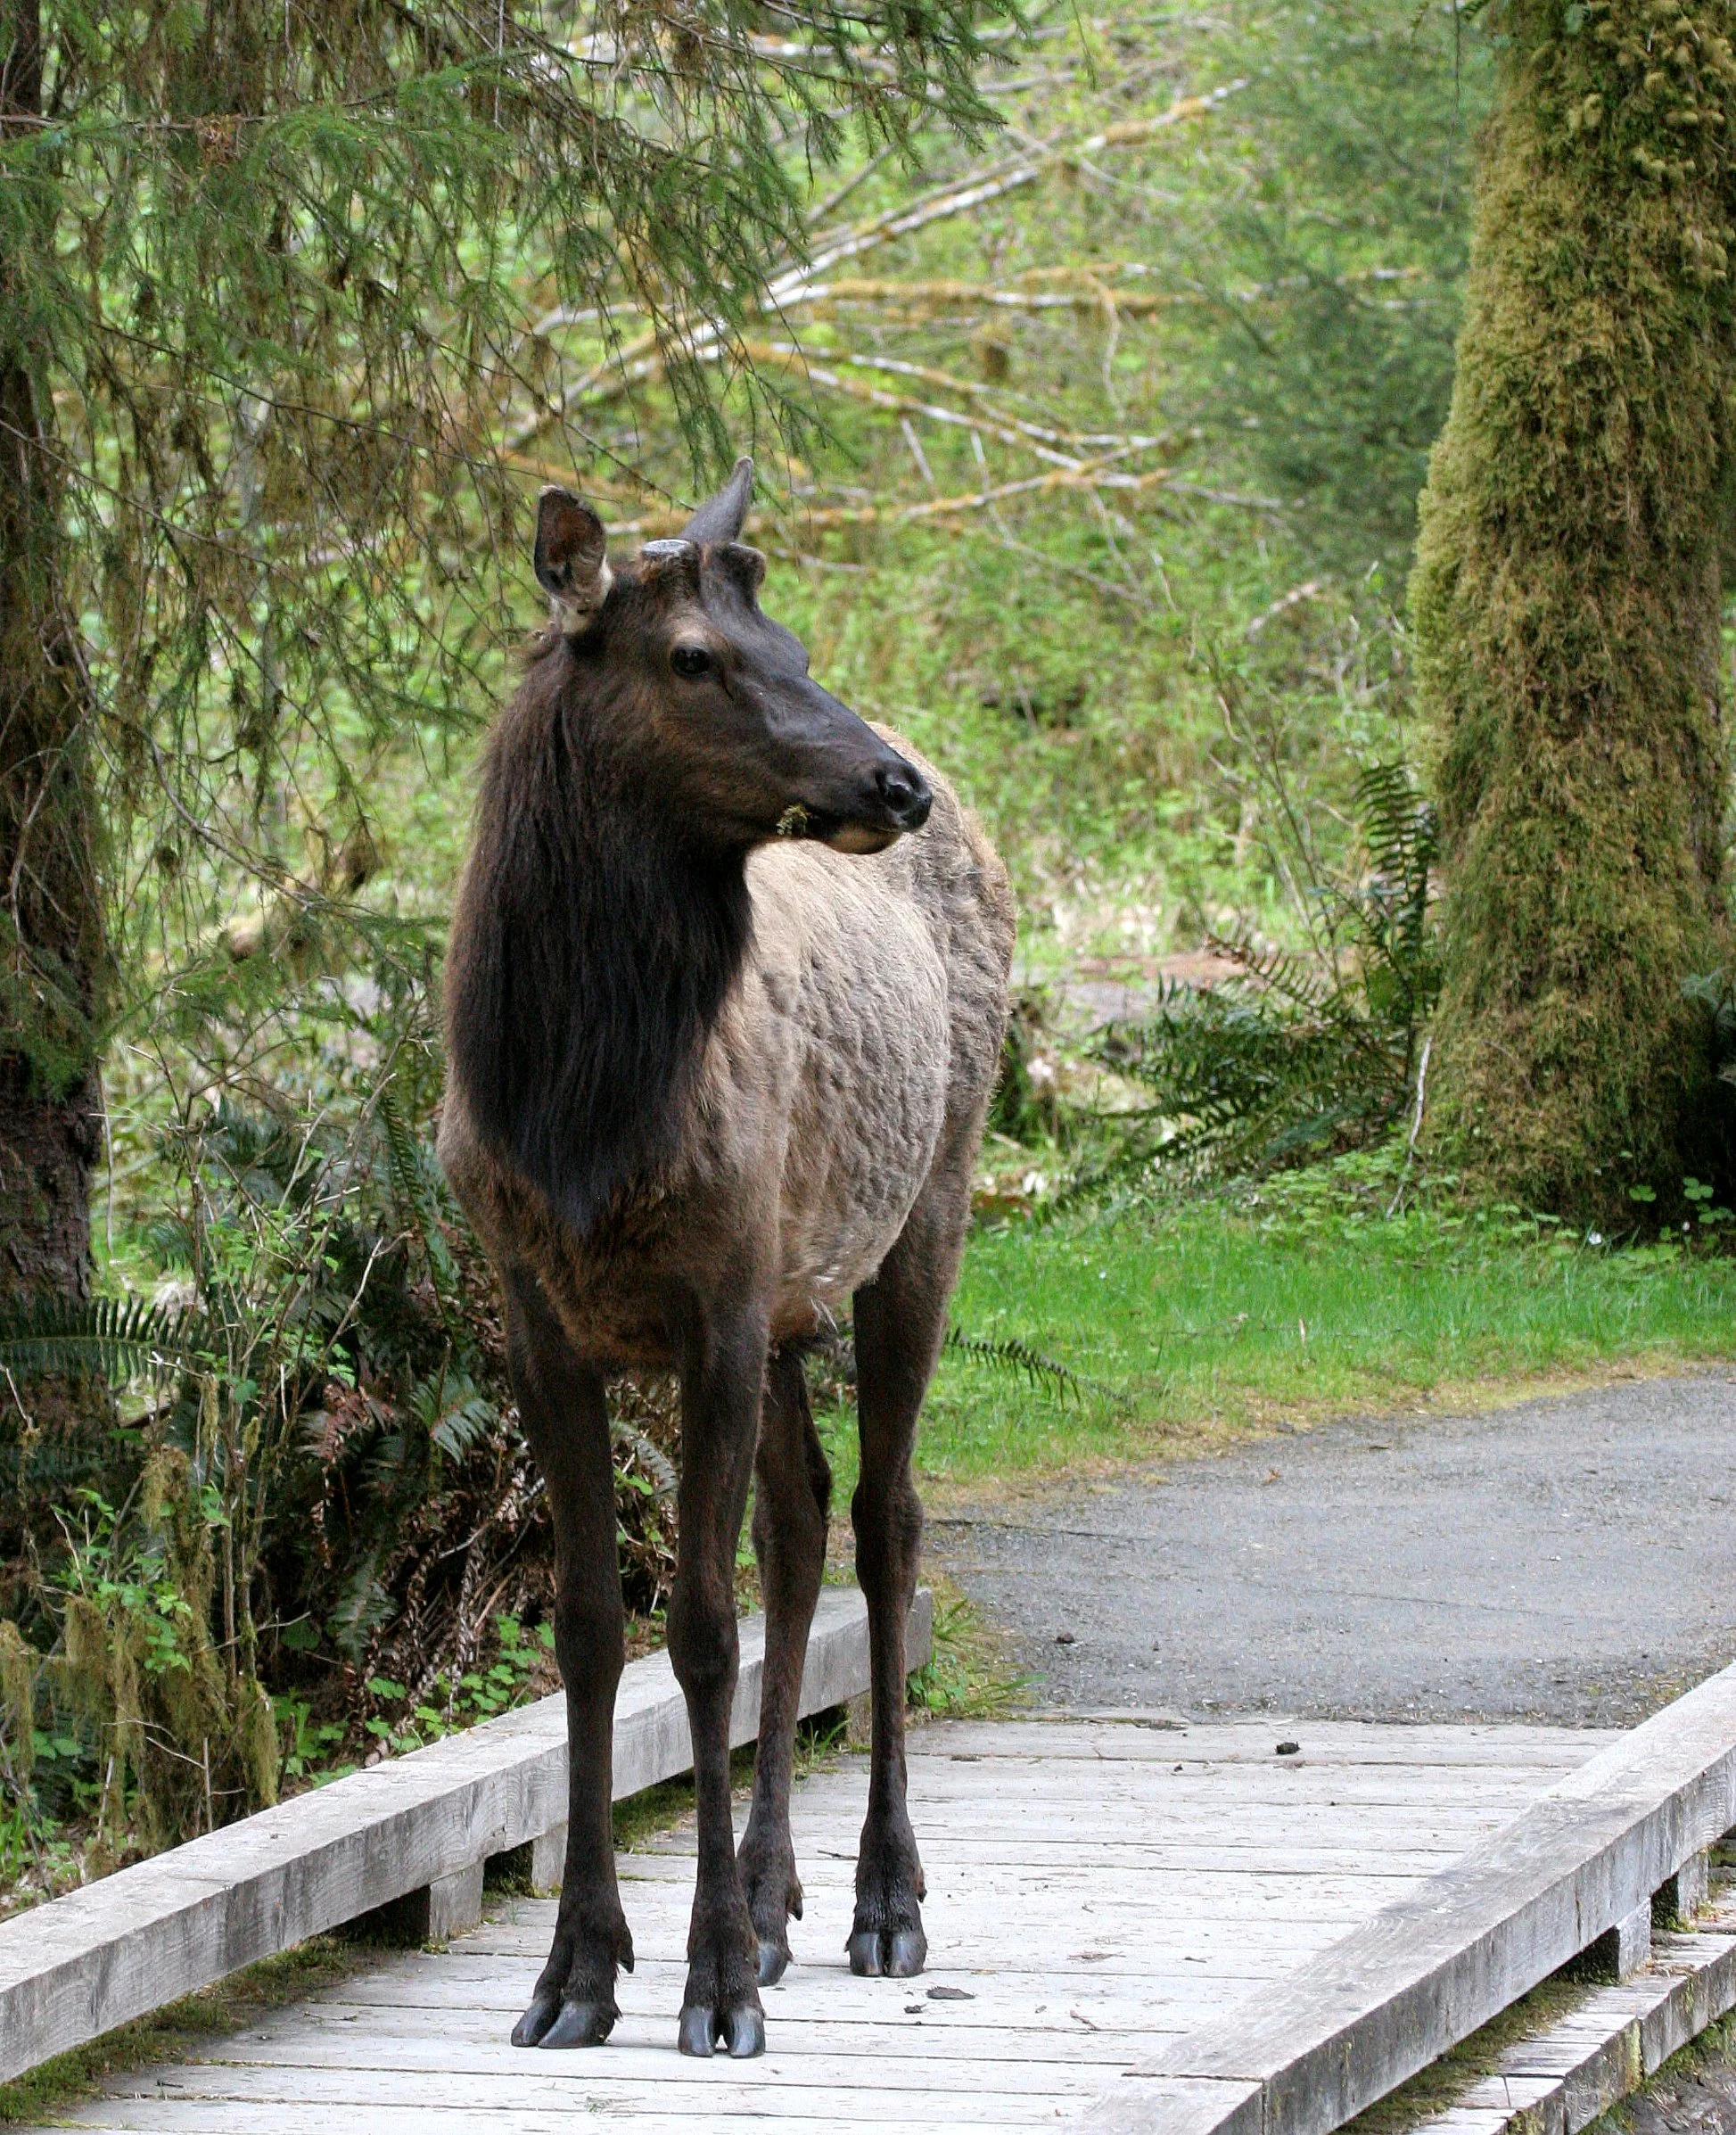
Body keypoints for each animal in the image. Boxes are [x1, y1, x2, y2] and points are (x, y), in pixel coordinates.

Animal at [438, 457, 1013, 2061]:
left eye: (794, 641)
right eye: (693, 656)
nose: (892, 783)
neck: (576, 1100)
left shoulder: (720, 1300)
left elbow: (697, 1626)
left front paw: (706, 1983)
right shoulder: (545, 1314)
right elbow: (590, 1627)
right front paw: (577, 1966)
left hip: (922, 1212)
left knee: (886, 1518)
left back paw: (881, 1895)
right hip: (797, 1291)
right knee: (803, 1515)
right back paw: (768, 1889)